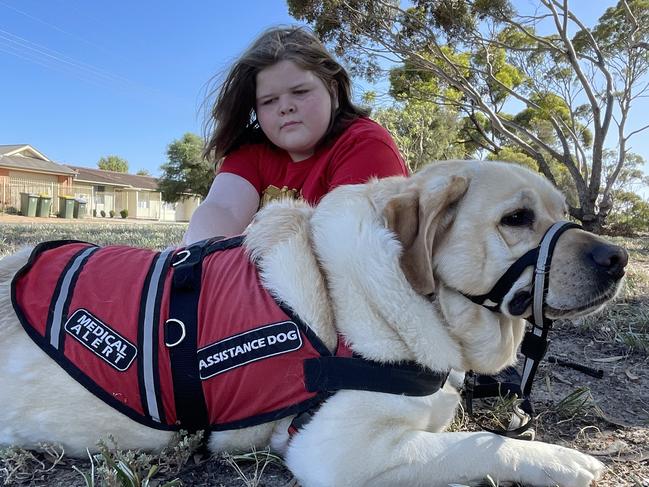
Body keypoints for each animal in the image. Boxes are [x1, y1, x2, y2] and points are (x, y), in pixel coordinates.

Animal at [0, 160, 628, 484]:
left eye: (564, 214)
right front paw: (564, 461)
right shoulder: (337, 451)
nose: (618, 258)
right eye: (516, 219)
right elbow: (480, 443)